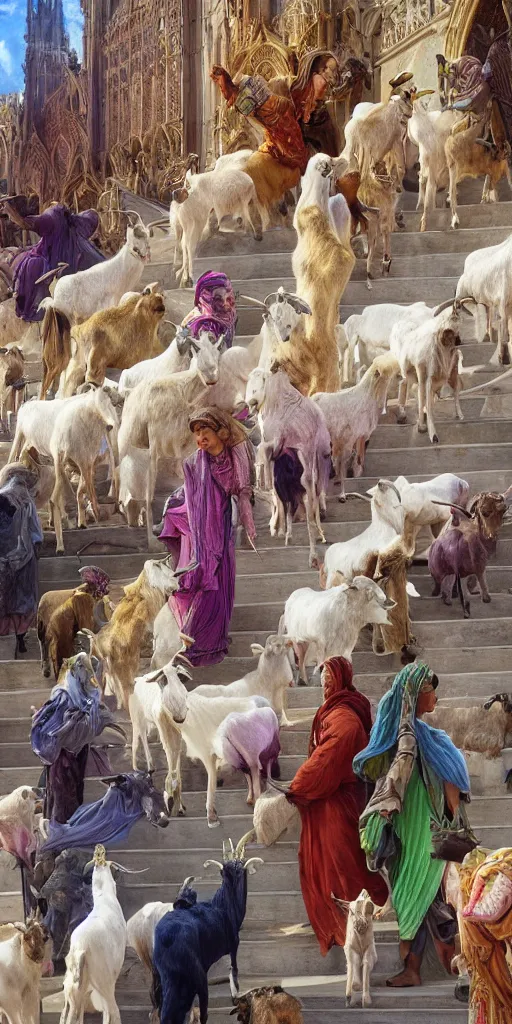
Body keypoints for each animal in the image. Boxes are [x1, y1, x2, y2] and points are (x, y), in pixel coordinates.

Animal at [59, 843, 126, 1024]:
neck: (105, 899)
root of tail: (80, 949)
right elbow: (108, 1013)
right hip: (103, 981)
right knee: (112, 1010)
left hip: (73, 988)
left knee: (68, 1015)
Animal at [117, 335, 222, 548]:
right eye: (197, 349)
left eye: (218, 350)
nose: (212, 378)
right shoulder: (157, 445)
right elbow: (150, 496)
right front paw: (153, 542)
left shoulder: (184, 448)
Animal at [149, 831, 262, 1024]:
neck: (224, 906)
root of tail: (167, 940)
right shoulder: (233, 944)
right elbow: (234, 970)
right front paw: (235, 996)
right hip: (196, 974)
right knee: (198, 1010)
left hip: (161, 975)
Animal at [389, 301, 466, 442]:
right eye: (455, 321)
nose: (458, 341)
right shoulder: (424, 372)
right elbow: (423, 394)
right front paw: (427, 430)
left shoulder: (448, 372)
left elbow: (450, 391)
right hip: (409, 370)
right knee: (406, 385)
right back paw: (405, 415)